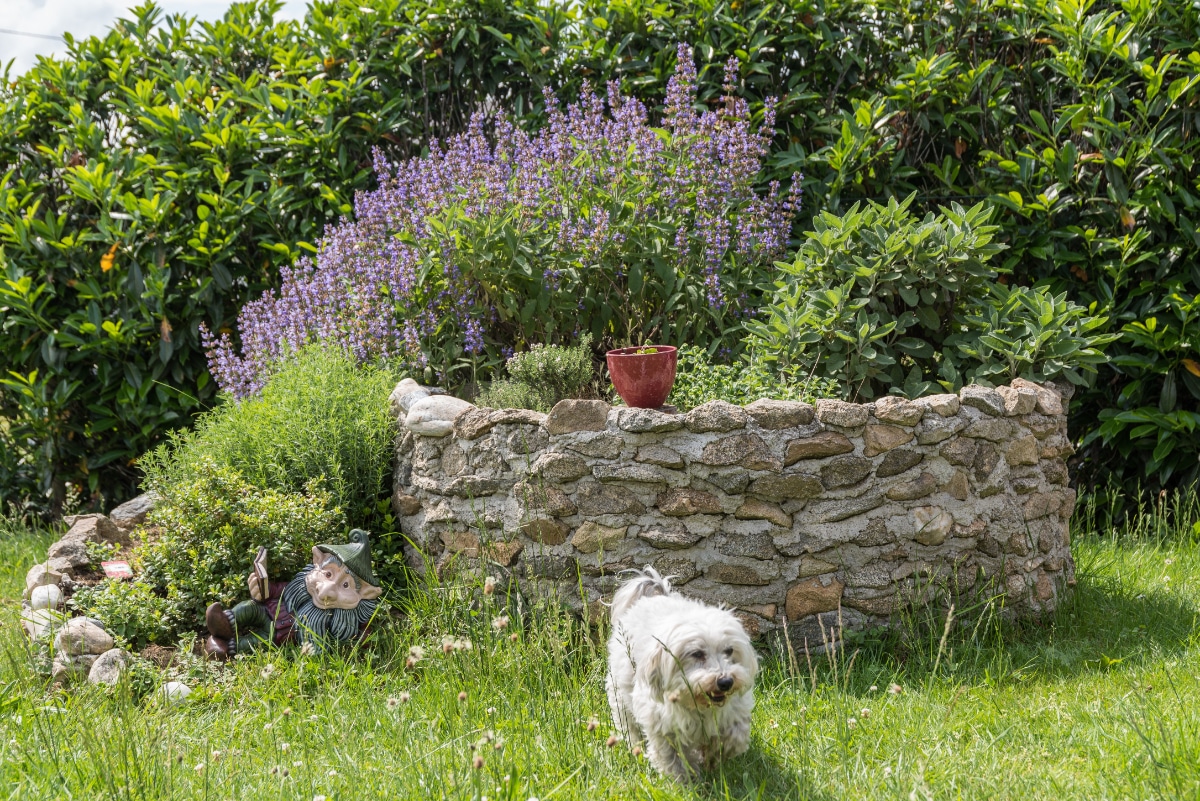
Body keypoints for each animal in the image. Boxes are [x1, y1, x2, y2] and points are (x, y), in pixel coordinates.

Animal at [604, 565, 753, 777]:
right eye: (697, 653)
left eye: (729, 650)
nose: (726, 682)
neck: (698, 705)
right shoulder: (663, 727)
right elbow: (674, 760)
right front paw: (685, 780)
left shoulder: (735, 712)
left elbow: (735, 735)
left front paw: (716, 754)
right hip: (620, 698)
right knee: (630, 727)